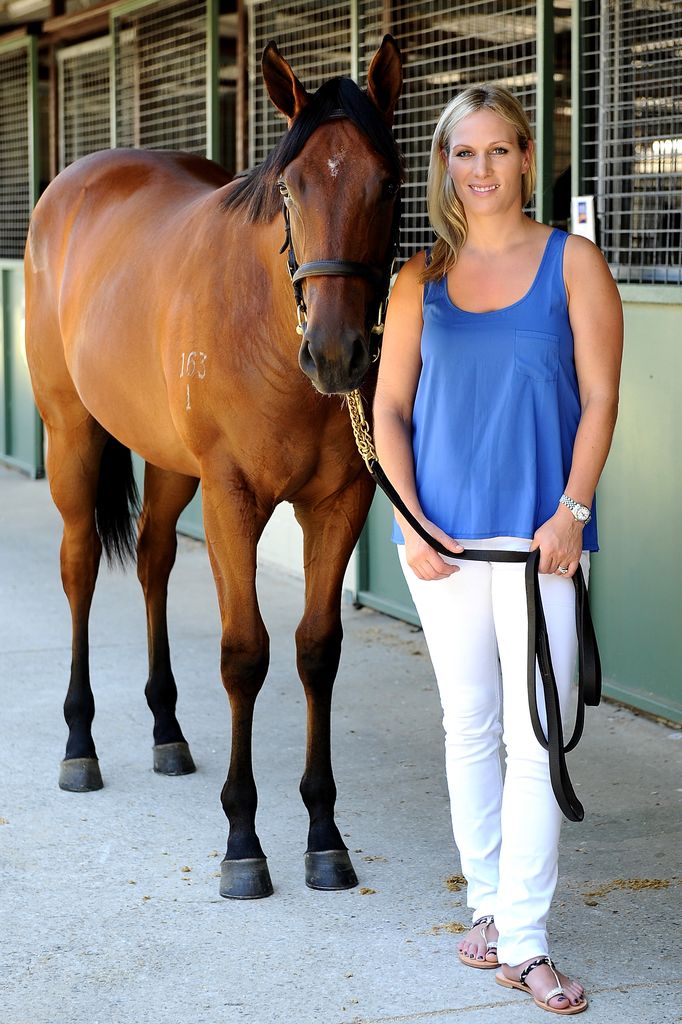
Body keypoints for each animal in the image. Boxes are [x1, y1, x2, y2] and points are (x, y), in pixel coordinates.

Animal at [23, 37, 401, 897]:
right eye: (291, 188)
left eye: (388, 181)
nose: (336, 354)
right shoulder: (233, 498)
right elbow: (243, 655)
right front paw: (242, 841)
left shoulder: (341, 501)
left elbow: (316, 650)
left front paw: (324, 835)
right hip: (71, 435)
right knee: (79, 565)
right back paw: (79, 746)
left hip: (170, 463)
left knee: (154, 559)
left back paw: (166, 730)